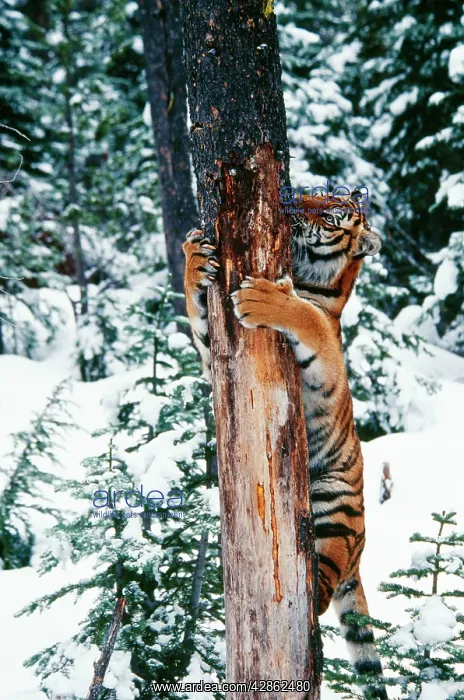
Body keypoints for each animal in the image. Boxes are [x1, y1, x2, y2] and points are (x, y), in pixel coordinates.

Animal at [183, 193, 387, 698]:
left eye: (332, 216)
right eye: (318, 194)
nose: (295, 204)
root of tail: (359, 555)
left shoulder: (326, 357)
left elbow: (306, 316)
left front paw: (262, 298)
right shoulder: (214, 355)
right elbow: (196, 315)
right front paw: (195, 255)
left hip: (334, 508)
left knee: (317, 600)